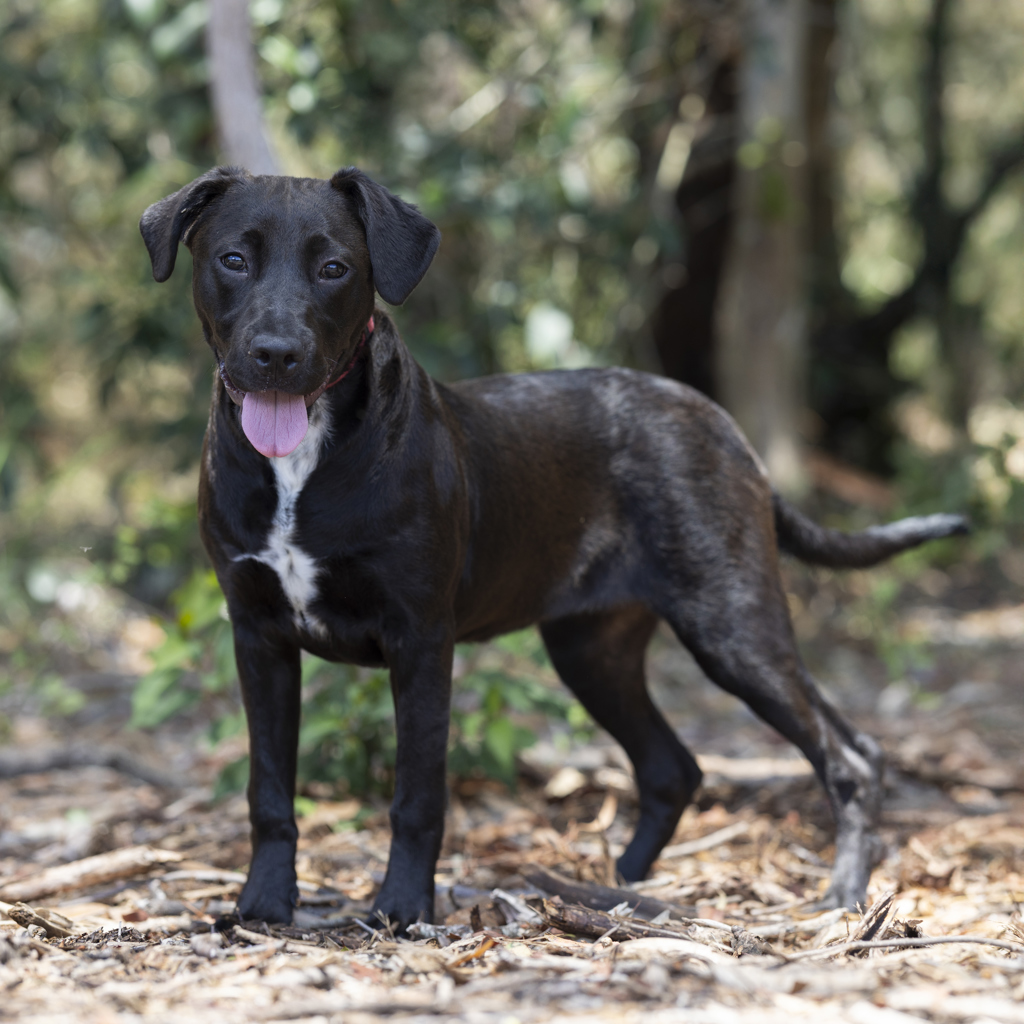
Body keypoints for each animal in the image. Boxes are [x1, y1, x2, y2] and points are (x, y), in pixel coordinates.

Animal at [140, 166, 967, 930]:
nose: (276, 353)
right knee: (674, 768)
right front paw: (261, 906)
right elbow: (269, 788)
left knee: (850, 755)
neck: (301, 464)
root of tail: (725, 427)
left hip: (734, 627)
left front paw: (403, 908)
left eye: (335, 268)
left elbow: (417, 793)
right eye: (234, 260)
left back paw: (842, 895)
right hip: (593, 650)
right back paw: (619, 889)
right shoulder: (259, 635)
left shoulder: (419, 639)